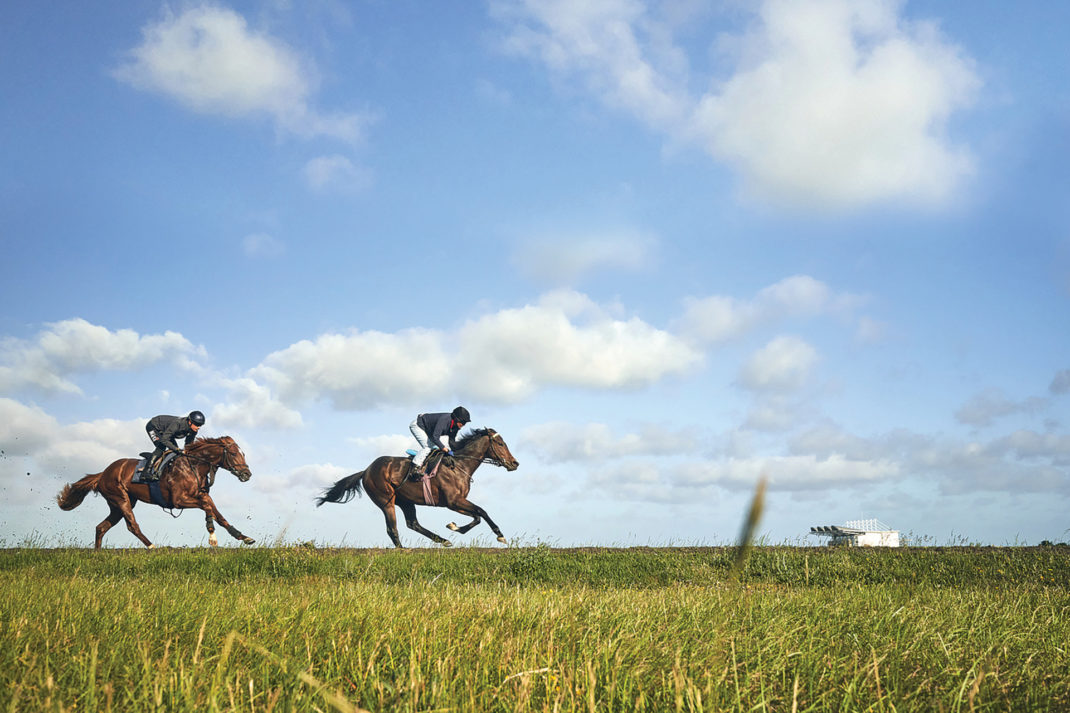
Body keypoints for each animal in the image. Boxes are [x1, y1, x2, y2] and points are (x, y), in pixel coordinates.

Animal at [56, 436, 256, 549]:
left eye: (243, 453)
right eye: (233, 453)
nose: (247, 474)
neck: (193, 465)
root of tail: (103, 473)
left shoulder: (200, 495)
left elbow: (217, 512)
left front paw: (243, 536)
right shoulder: (178, 500)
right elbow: (207, 507)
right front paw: (212, 536)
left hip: (118, 504)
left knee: (101, 527)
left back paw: (98, 553)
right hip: (120, 499)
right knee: (132, 525)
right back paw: (152, 547)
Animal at [316, 428, 519, 548]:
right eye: (500, 443)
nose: (514, 463)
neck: (459, 465)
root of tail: (366, 470)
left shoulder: (456, 502)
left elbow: (476, 516)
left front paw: (453, 527)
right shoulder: (453, 501)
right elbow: (482, 512)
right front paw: (500, 535)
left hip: (406, 501)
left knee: (412, 523)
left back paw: (443, 540)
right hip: (386, 500)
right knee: (392, 528)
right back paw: (402, 549)